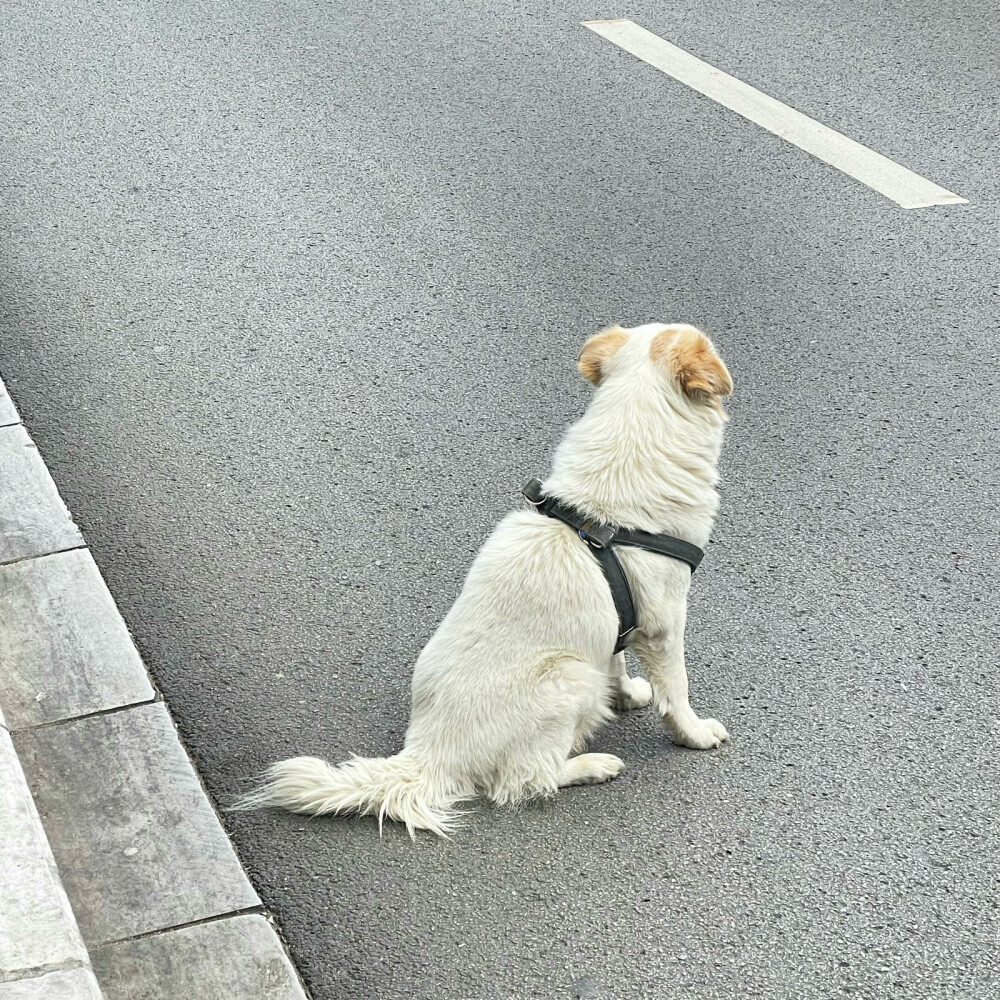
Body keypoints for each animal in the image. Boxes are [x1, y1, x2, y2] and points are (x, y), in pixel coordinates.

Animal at [235, 322, 736, 836]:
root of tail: (429, 756)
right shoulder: (665, 623)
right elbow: (676, 690)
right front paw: (694, 733)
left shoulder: (620, 614)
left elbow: (615, 658)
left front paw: (627, 693)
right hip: (568, 676)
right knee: (523, 781)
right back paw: (593, 765)